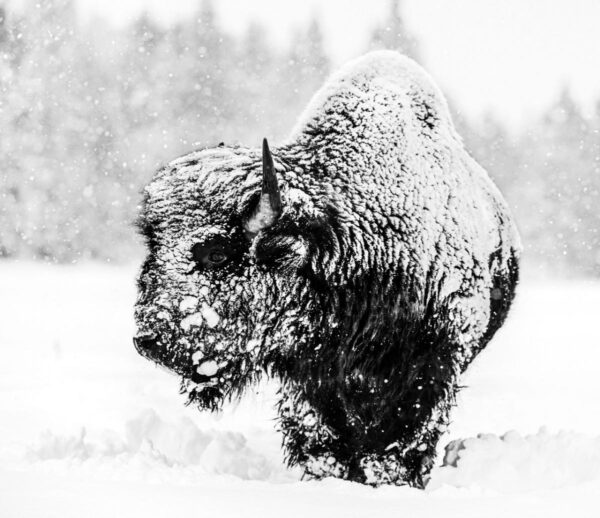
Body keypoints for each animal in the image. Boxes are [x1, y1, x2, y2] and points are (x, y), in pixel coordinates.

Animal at [132, 50, 520, 490]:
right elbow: (323, 440)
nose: (149, 340)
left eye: (217, 253)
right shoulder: (310, 378)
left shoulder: (430, 366)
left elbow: (400, 442)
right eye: (155, 247)